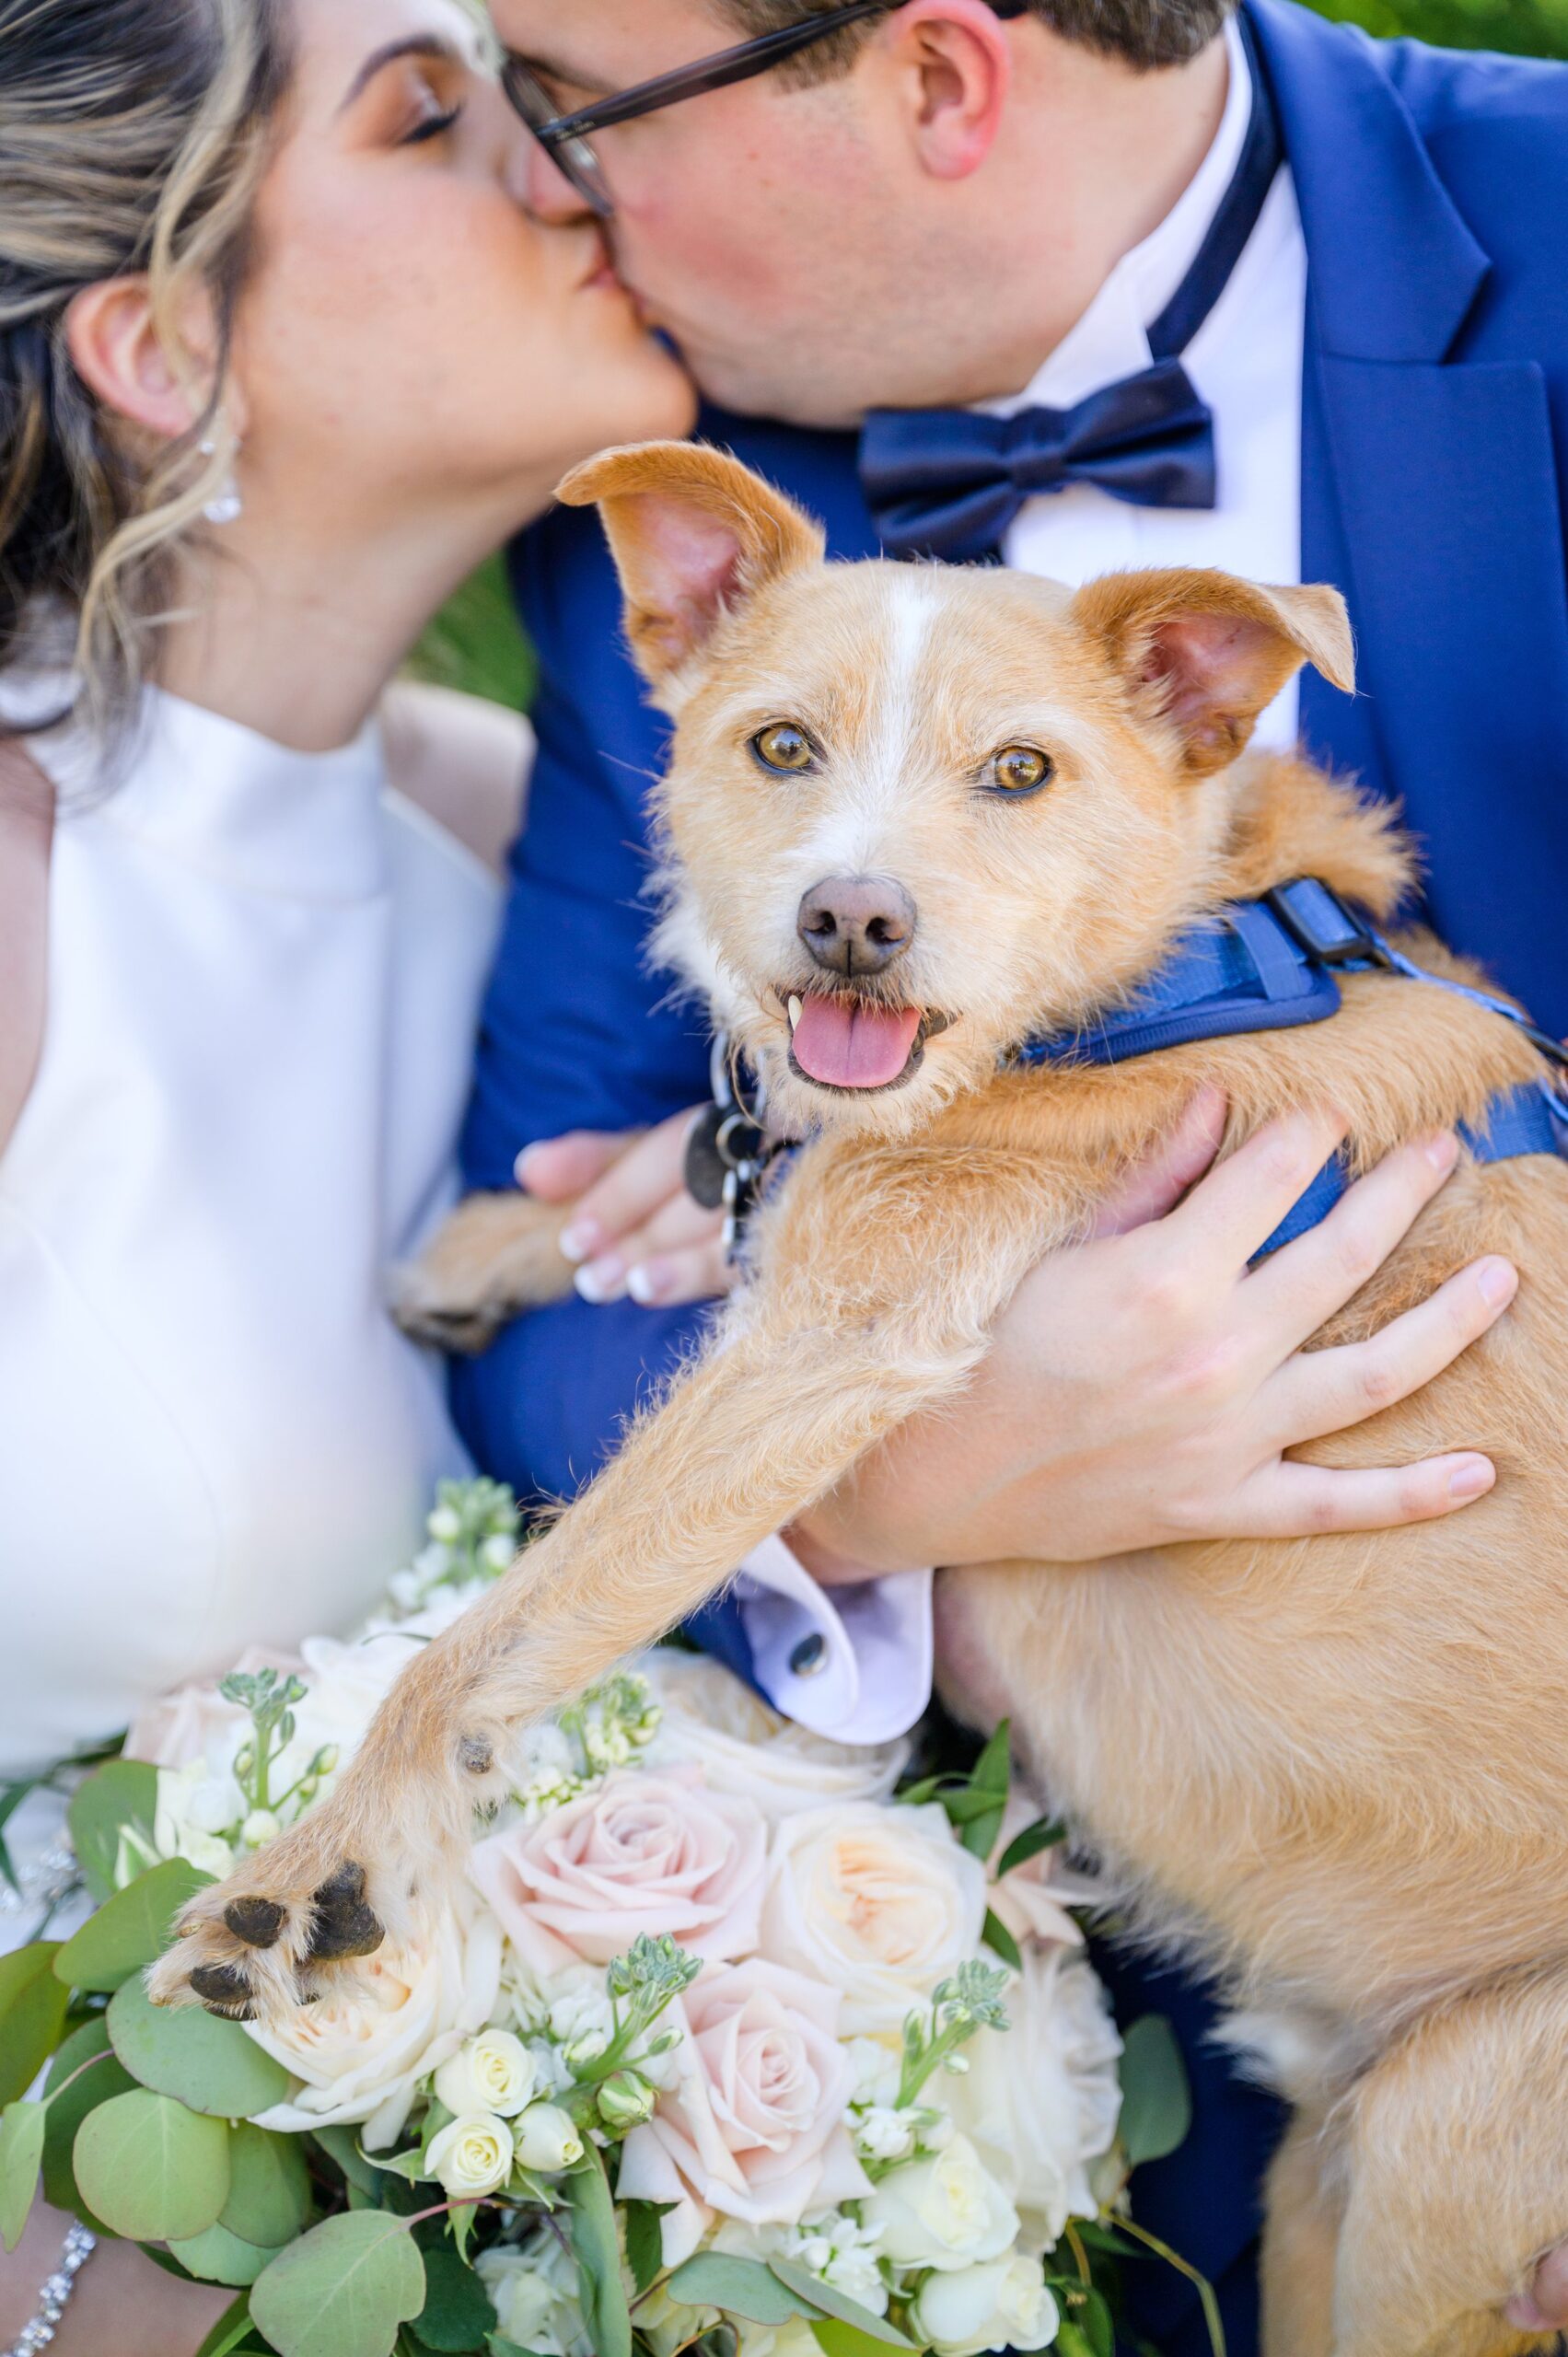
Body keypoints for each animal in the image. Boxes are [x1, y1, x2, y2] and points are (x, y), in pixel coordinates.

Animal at [156, 445, 1565, 2357]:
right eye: (775, 747)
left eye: (1020, 773)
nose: (850, 919)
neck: (1198, 957)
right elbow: (719, 1178)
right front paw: (520, 1232)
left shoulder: (836, 1335)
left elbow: (497, 1630)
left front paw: (325, 1874)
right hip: (1316, 2197)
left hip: (1443, 2142)